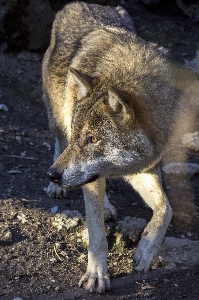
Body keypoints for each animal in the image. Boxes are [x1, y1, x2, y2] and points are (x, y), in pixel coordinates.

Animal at [42, 0, 199, 294]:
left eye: (93, 139)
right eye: (81, 135)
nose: (52, 174)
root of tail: (80, 4)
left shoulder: (143, 167)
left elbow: (166, 209)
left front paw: (146, 252)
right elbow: (96, 233)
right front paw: (96, 276)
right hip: (56, 118)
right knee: (58, 142)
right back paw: (59, 188)